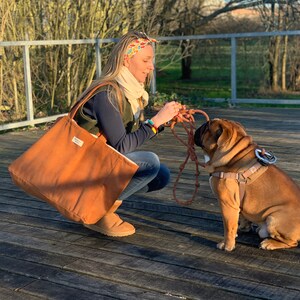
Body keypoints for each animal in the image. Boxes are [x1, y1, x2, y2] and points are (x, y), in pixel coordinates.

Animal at [195, 118, 300, 252]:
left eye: (207, 127)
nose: (201, 125)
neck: (234, 154)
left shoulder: (227, 204)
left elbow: (228, 226)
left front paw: (227, 245)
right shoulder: (237, 204)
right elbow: (240, 218)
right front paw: (242, 229)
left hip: (273, 218)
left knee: (292, 242)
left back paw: (269, 243)